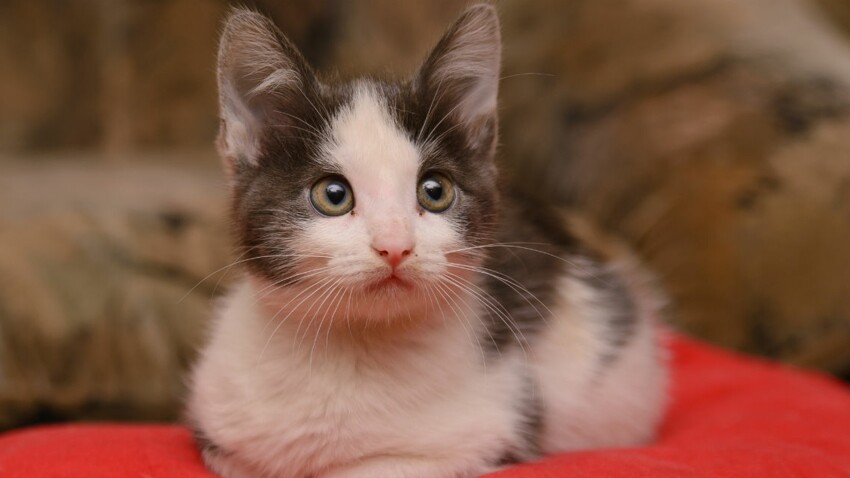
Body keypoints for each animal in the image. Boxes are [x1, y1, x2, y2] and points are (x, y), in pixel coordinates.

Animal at [187, 4, 668, 478]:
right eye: (333, 195)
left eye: (435, 191)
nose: (395, 246)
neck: (356, 343)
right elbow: (231, 459)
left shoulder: (494, 425)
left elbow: (369, 469)